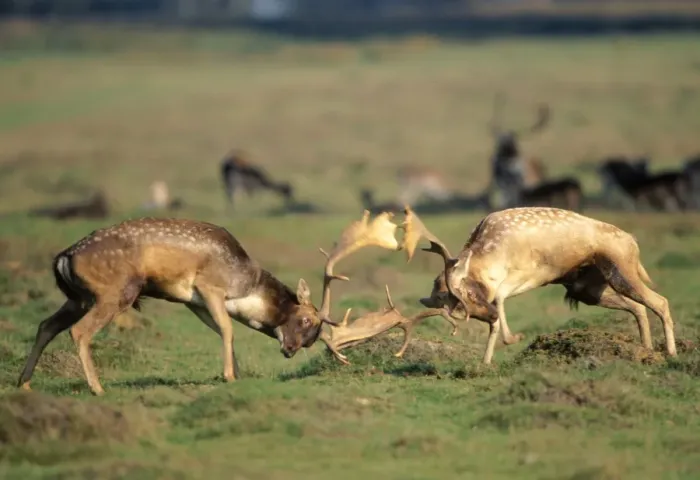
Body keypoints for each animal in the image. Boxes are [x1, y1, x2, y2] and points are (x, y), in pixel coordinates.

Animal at [16, 211, 450, 395]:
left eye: (312, 335)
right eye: (307, 320)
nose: (290, 350)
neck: (246, 283)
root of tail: (64, 257)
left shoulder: (194, 302)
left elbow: (221, 329)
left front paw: (235, 371)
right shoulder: (208, 285)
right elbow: (227, 328)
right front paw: (228, 375)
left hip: (78, 296)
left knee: (45, 325)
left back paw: (24, 383)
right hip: (114, 292)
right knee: (78, 331)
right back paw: (97, 388)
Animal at [401, 205, 677, 365]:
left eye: (466, 292)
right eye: (458, 309)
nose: (489, 315)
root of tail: (632, 241)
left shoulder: (530, 275)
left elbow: (499, 297)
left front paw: (514, 338)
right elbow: (496, 314)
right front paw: (486, 362)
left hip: (622, 273)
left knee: (660, 301)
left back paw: (671, 354)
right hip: (590, 290)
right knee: (639, 307)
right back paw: (646, 351)